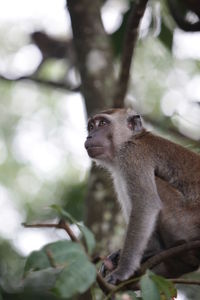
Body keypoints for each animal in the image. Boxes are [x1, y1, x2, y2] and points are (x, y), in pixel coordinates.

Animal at [84, 108, 200, 284]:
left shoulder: (132, 156)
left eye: (103, 123)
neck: (131, 139)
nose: (89, 136)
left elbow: (146, 205)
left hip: (185, 222)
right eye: (91, 126)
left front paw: (122, 271)